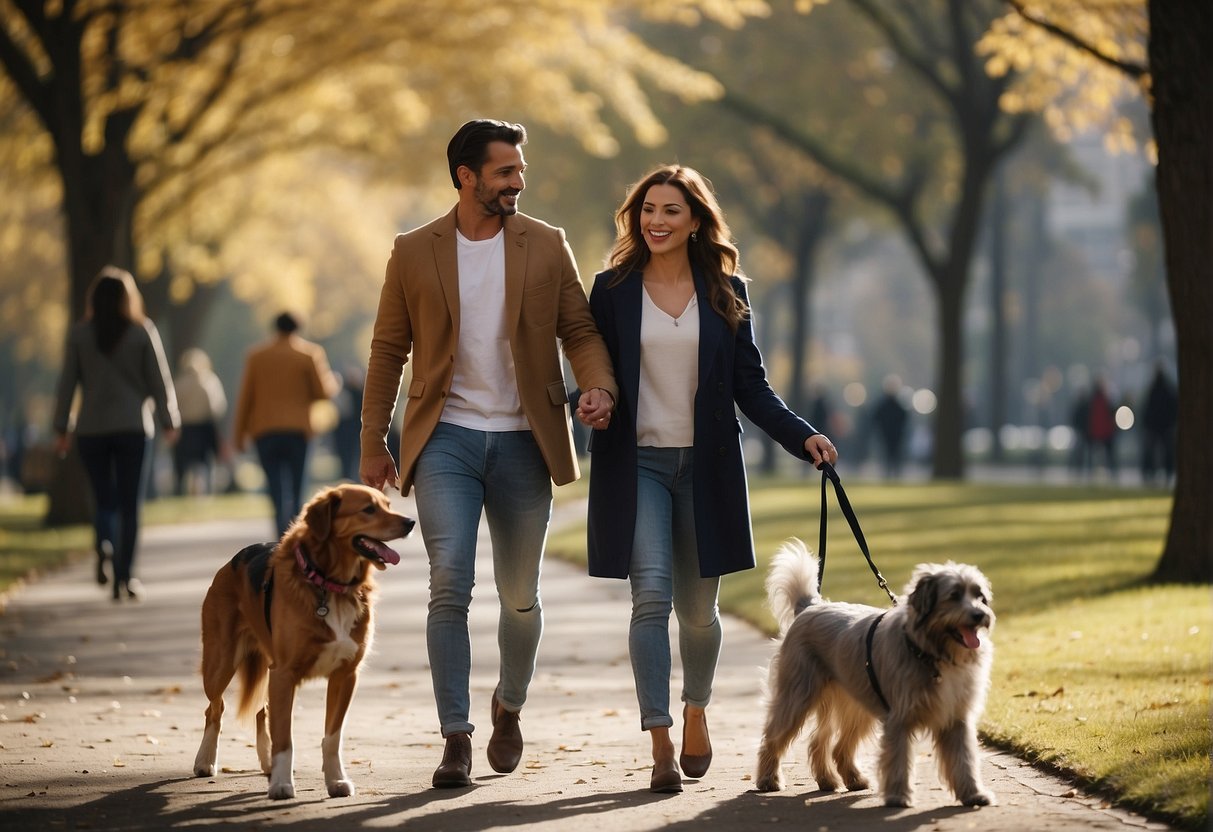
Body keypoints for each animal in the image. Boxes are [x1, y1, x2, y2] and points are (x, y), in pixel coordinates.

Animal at [756, 540, 994, 810]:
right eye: (954, 595)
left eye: (979, 596)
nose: (980, 615)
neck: (930, 651)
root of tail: (810, 606)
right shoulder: (899, 718)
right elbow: (898, 760)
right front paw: (898, 797)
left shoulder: (956, 719)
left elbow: (964, 760)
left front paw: (973, 794)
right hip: (797, 698)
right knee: (773, 738)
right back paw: (768, 779)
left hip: (855, 706)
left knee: (829, 745)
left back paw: (841, 779)